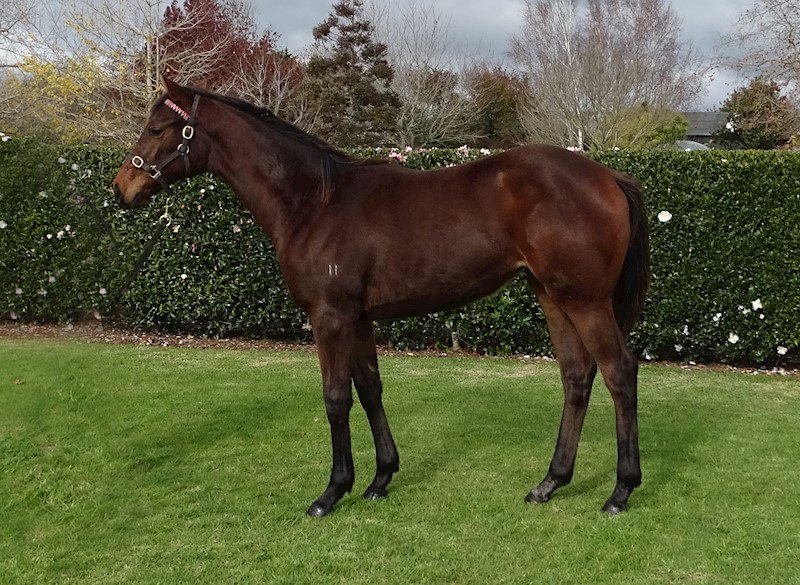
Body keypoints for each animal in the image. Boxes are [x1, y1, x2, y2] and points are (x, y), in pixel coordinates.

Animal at [113, 76, 650, 517]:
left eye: (157, 128)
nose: (122, 188)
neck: (314, 202)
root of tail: (608, 176)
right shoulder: (359, 317)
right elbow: (370, 389)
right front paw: (380, 479)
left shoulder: (329, 316)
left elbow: (335, 398)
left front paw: (332, 492)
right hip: (552, 297)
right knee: (576, 378)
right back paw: (550, 483)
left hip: (586, 301)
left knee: (619, 373)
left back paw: (620, 491)